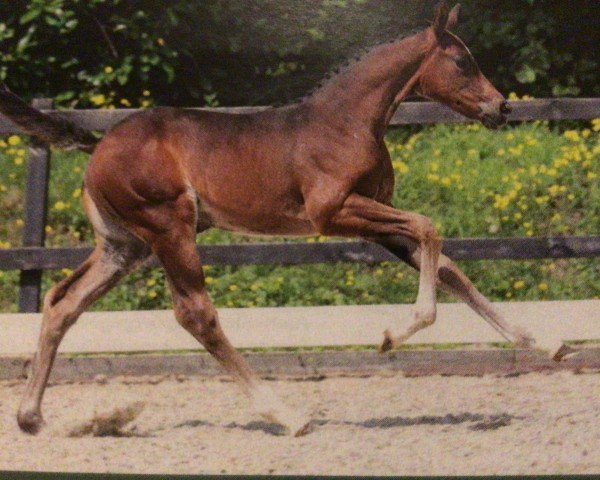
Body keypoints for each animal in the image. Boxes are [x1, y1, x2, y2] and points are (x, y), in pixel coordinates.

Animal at [0, 1, 572, 436]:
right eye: (461, 62)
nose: (502, 108)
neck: (345, 123)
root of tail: (98, 145)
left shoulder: (377, 221)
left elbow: (449, 266)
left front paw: (549, 343)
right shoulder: (332, 213)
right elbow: (430, 229)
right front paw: (391, 336)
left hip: (125, 246)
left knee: (64, 301)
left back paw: (32, 418)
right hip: (168, 231)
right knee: (196, 315)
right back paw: (288, 415)